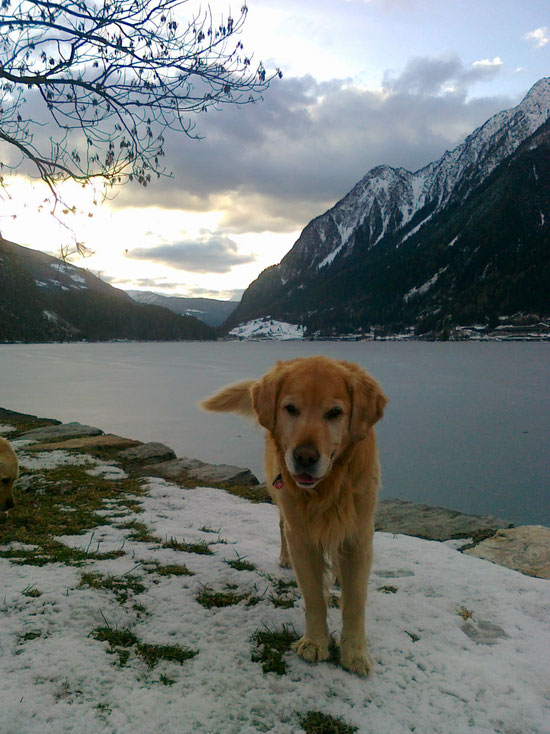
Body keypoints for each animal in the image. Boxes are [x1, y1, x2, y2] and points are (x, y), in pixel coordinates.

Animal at [203, 356, 388, 680]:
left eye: (335, 413)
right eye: (290, 408)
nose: (304, 457)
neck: (327, 487)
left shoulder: (358, 534)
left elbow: (355, 602)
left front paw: (354, 653)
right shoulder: (301, 535)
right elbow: (313, 596)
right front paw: (315, 642)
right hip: (280, 499)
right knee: (281, 527)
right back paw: (285, 558)